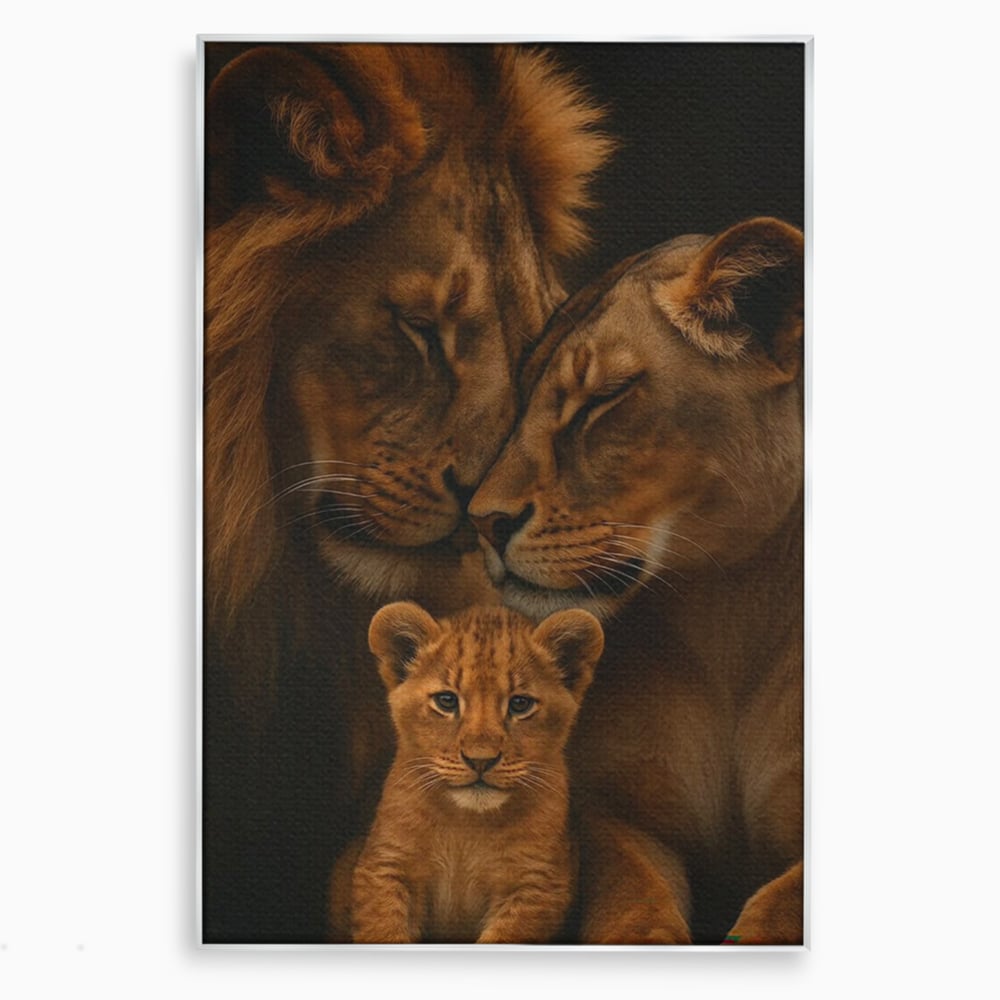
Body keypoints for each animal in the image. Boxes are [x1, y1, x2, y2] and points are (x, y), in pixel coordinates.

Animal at [329, 602, 603, 943]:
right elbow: (383, 932)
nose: (480, 760)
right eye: (447, 701)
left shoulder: (537, 886)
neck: (467, 825)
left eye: (520, 704)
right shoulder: (386, 866)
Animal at [468, 217, 805, 944]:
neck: (731, 609)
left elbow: (777, 909)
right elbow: (630, 904)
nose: (482, 521)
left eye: (603, 399)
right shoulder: (612, 813)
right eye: (523, 398)